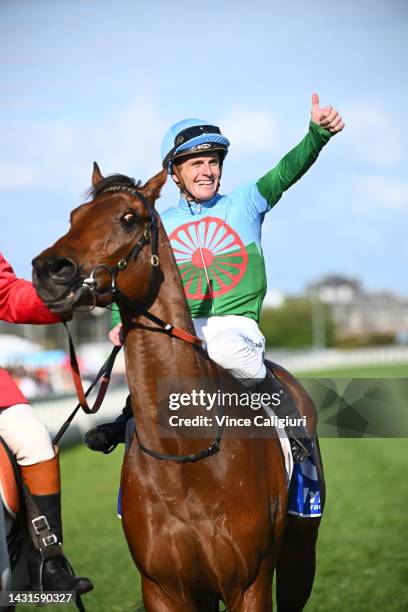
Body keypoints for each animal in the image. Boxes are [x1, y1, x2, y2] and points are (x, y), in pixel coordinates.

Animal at [31, 165, 326, 608]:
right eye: (73, 217)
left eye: (129, 217)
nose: (50, 270)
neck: (184, 458)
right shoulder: (163, 588)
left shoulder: (251, 584)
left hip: (299, 552)